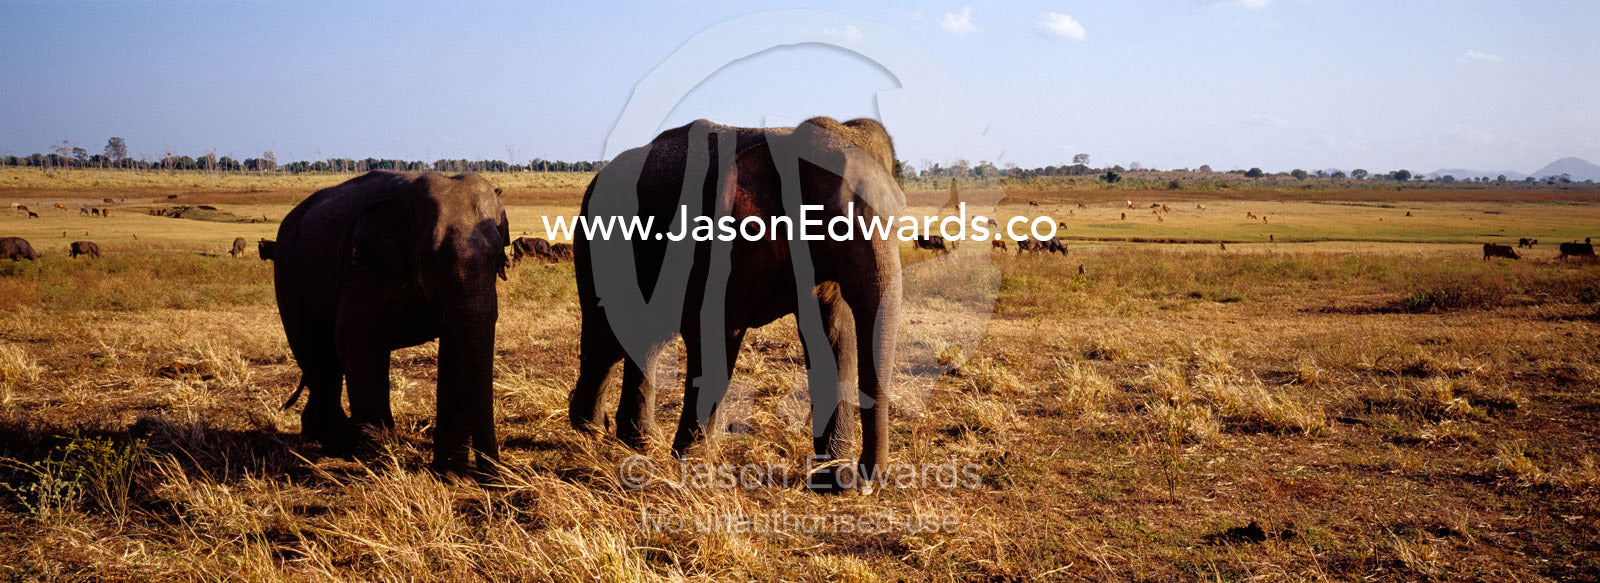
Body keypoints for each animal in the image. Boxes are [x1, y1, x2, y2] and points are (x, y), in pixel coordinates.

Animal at [272, 170, 510, 476]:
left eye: (500, 258)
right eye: (430, 261)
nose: (494, 477)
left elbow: (456, 349)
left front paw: (452, 476)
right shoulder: (363, 270)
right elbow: (358, 344)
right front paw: (383, 464)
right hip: (289, 276)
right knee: (318, 355)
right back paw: (337, 443)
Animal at [569, 117, 903, 492]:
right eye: (836, 222)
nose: (863, 482)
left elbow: (832, 339)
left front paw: (833, 478)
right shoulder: (716, 240)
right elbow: (714, 337)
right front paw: (693, 469)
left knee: (643, 340)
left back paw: (637, 441)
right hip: (596, 242)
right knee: (607, 336)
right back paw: (592, 431)